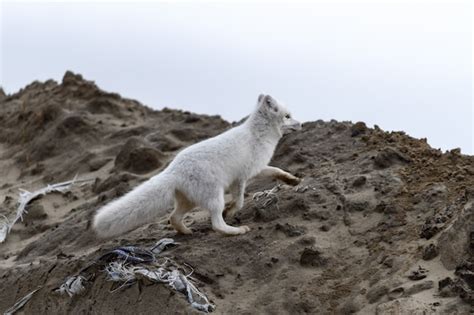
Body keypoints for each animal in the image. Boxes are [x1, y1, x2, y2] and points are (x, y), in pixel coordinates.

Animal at [91, 95, 300, 238]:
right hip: (214, 195)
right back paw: (235, 230)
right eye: (288, 116)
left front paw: (292, 180)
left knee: (173, 218)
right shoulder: (241, 177)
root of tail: (172, 170)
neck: (259, 134)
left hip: (189, 200)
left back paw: (186, 232)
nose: (301, 124)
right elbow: (240, 200)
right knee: (216, 223)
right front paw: (232, 211)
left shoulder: (258, 169)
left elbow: (277, 171)